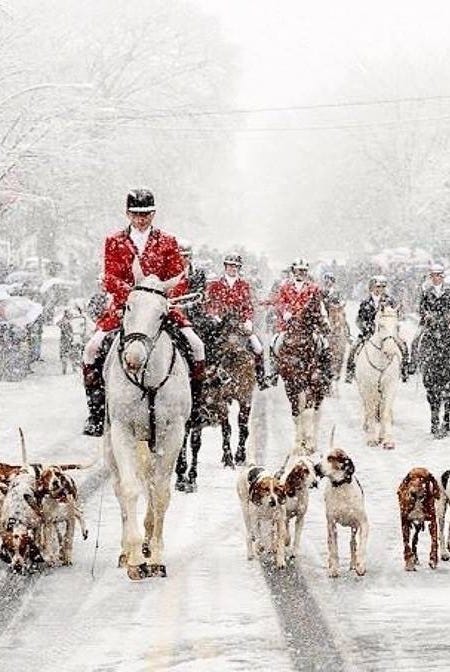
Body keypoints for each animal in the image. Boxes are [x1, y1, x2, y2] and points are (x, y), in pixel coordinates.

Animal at [103, 276, 190, 580]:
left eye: (163, 315)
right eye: (128, 306)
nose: (133, 358)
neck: (147, 379)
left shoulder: (173, 434)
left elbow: (160, 493)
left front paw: (155, 556)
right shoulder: (122, 431)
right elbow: (130, 489)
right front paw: (135, 560)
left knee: (152, 485)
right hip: (109, 444)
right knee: (119, 488)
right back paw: (126, 550)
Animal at [274, 314, 330, 452]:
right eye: (316, 310)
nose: (327, 326)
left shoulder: (311, 385)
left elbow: (308, 414)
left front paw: (309, 443)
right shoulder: (290, 387)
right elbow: (296, 415)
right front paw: (298, 444)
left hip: (319, 390)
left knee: (316, 414)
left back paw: (312, 441)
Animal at [356, 308, 400, 448]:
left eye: (397, 326)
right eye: (381, 326)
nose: (390, 350)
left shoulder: (390, 386)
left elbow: (385, 413)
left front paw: (387, 440)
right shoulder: (369, 387)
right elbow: (371, 411)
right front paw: (372, 439)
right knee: (368, 407)